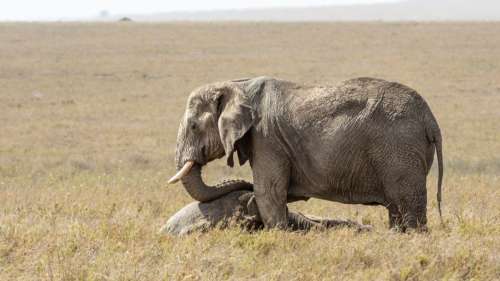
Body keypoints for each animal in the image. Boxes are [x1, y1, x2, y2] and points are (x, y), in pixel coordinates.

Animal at [170, 76, 444, 230]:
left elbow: (269, 193)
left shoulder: (267, 139)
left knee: (408, 206)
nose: (244, 192)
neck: (237, 85)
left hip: (399, 150)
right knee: (397, 209)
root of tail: (430, 119)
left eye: (193, 126)